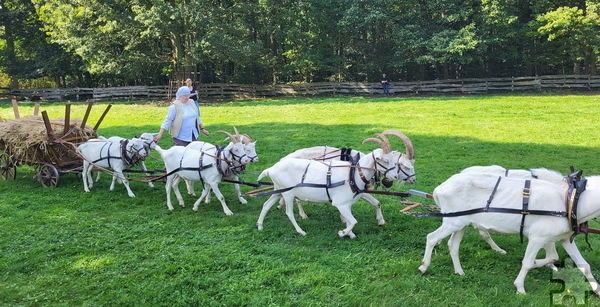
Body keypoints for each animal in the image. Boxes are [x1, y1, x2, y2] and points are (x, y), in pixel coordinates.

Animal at [255, 136, 410, 239]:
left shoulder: (347, 204)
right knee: (289, 213)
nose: (394, 176)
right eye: (385, 160)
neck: (352, 174)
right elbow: (354, 221)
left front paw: (349, 233)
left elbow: (350, 220)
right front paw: (343, 233)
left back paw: (260, 225)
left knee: (266, 205)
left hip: (277, 190)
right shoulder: (340, 203)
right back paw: (301, 231)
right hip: (288, 193)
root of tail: (270, 169)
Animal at [418, 172, 600, 294]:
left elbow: (583, 265)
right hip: (453, 221)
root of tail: (440, 188)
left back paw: (459, 272)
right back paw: (423, 267)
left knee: (453, 245)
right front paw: (520, 288)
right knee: (431, 237)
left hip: (461, 223)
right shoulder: (538, 237)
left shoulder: (564, 239)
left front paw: (597, 289)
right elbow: (528, 262)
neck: (570, 203)